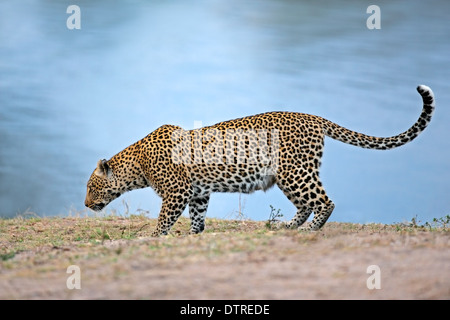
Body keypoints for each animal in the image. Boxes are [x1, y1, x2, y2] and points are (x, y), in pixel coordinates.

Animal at [85, 84, 436, 235]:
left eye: (90, 187)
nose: (87, 205)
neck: (137, 165)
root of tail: (314, 117)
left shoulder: (177, 192)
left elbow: (164, 219)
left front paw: (156, 237)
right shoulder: (198, 193)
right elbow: (197, 217)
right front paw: (195, 235)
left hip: (295, 172)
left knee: (324, 201)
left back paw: (309, 230)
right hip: (290, 175)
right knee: (306, 204)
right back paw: (285, 226)